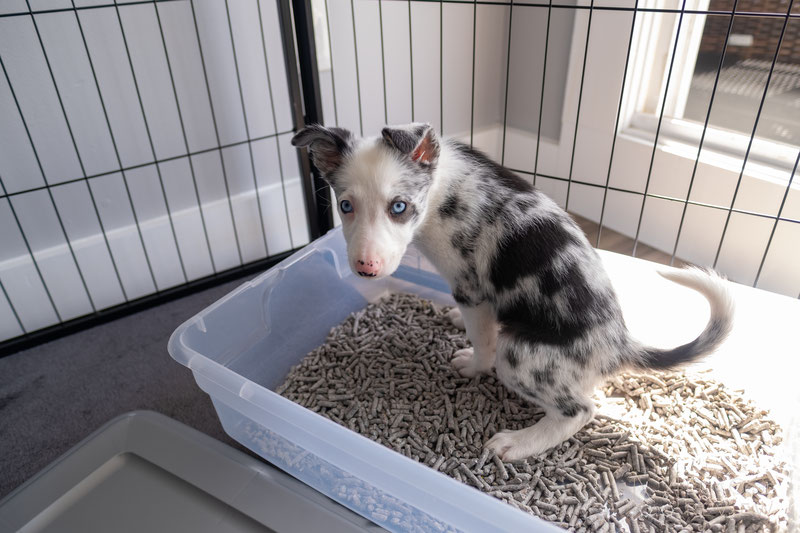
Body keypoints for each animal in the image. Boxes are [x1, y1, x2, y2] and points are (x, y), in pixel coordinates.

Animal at [290, 122, 736, 460]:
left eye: (398, 207)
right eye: (345, 207)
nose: (365, 269)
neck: (440, 189)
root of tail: (619, 345)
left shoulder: (471, 288)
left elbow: (482, 341)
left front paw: (472, 365)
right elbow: (473, 323)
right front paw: (453, 320)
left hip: (520, 356)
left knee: (581, 410)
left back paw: (519, 443)